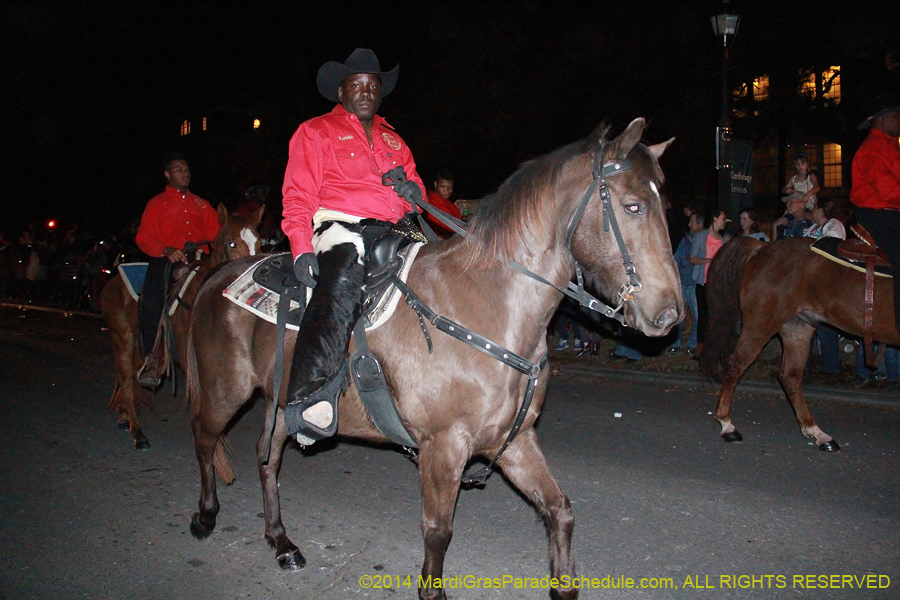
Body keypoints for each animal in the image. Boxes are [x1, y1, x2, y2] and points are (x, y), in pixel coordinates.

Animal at [98, 203, 262, 450]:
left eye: (259, 242)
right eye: (232, 243)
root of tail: (112, 282)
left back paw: (125, 416)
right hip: (122, 339)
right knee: (126, 381)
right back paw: (137, 432)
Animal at [188, 118, 684, 600]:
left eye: (664, 205)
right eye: (633, 207)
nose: (670, 315)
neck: (488, 306)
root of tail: (215, 276)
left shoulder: (515, 441)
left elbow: (559, 510)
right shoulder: (443, 447)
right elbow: (438, 532)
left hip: (277, 400)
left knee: (267, 457)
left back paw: (281, 541)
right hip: (224, 390)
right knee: (205, 437)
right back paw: (206, 515)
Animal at [704, 234, 900, 450]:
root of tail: (763, 248)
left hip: (798, 328)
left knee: (789, 376)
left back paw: (817, 432)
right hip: (760, 326)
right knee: (736, 367)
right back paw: (727, 425)